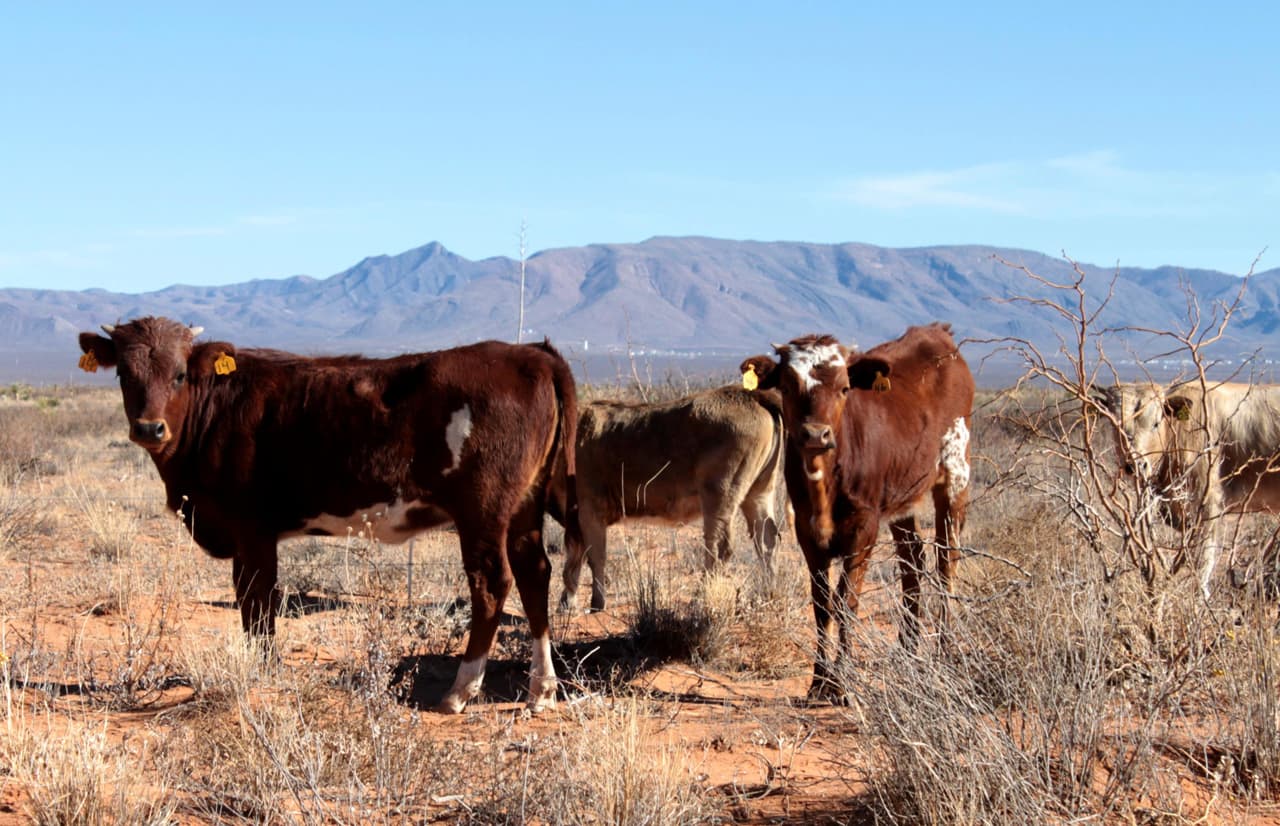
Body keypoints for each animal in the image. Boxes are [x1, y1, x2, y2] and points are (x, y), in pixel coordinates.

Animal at [74, 317, 586, 717]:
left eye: (180, 374)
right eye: (124, 373)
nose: (149, 428)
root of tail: (530, 354)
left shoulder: (251, 530)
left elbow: (256, 602)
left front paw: (263, 669)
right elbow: (256, 604)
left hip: (483, 508)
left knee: (491, 583)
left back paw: (460, 691)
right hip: (524, 506)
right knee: (535, 574)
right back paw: (541, 690)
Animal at [552, 384, 783, 609]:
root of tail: (751, 395)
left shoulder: (589, 512)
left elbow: (594, 557)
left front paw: (596, 604)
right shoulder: (576, 520)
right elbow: (575, 558)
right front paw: (566, 602)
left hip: (719, 495)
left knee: (719, 546)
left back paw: (699, 598)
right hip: (759, 493)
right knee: (766, 540)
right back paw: (768, 595)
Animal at [742, 325, 967, 696]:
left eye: (844, 388)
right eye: (787, 387)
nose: (815, 434)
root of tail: (937, 332)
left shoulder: (864, 527)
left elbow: (847, 603)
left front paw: (842, 682)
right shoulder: (806, 531)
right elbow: (822, 605)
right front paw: (819, 682)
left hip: (955, 476)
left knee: (947, 559)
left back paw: (946, 652)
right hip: (902, 498)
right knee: (912, 560)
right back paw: (907, 654)